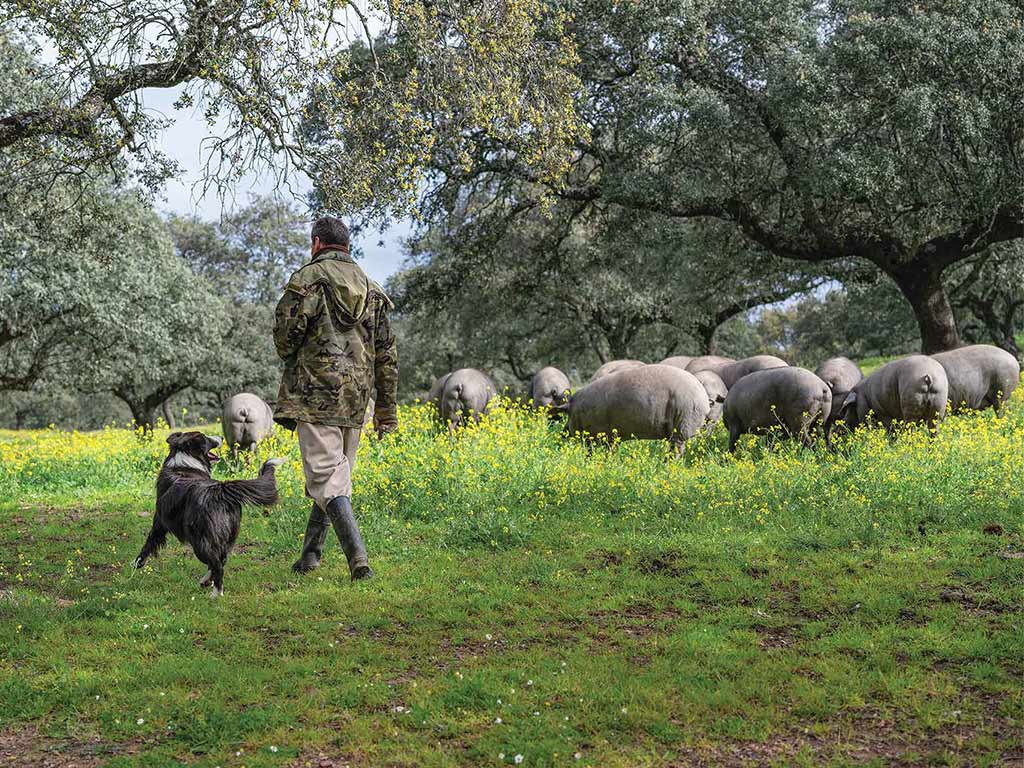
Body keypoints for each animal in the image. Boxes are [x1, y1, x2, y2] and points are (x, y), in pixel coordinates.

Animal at [134, 430, 284, 598]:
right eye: (206, 438)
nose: (221, 437)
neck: (185, 459)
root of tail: (220, 488)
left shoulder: (159, 523)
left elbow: (148, 544)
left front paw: (136, 564)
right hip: (227, 536)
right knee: (221, 560)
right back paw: (207, 582)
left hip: (200, 541)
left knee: (216, 564)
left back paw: (215, 594)